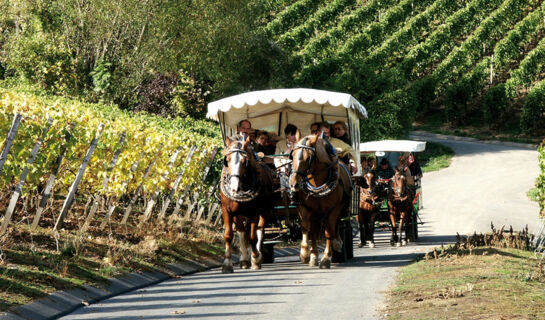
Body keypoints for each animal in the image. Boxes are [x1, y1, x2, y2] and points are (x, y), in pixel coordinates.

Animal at [220, 136, 274, 272]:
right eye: (227, 160)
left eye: (245, 161)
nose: (234, 188)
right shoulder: (226, 210)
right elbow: (229, 235)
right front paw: (227, 264)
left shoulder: (254, 212)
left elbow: (253, 237)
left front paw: (255, 260)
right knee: (242, 230)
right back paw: (244, 259)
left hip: (266, 210)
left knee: (259, 230)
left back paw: (257, 256)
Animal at [286, 131, 350, 268]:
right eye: (292, 155)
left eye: (308, 158)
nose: (294, 184)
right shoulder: (305, 208)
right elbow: (307, 229)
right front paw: (305, 254)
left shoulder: (333, 210)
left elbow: (329, 232)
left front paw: (326, 258)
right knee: (314, 231)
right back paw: (314, 255)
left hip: (340, 208)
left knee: (336, 224)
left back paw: (337, 242)